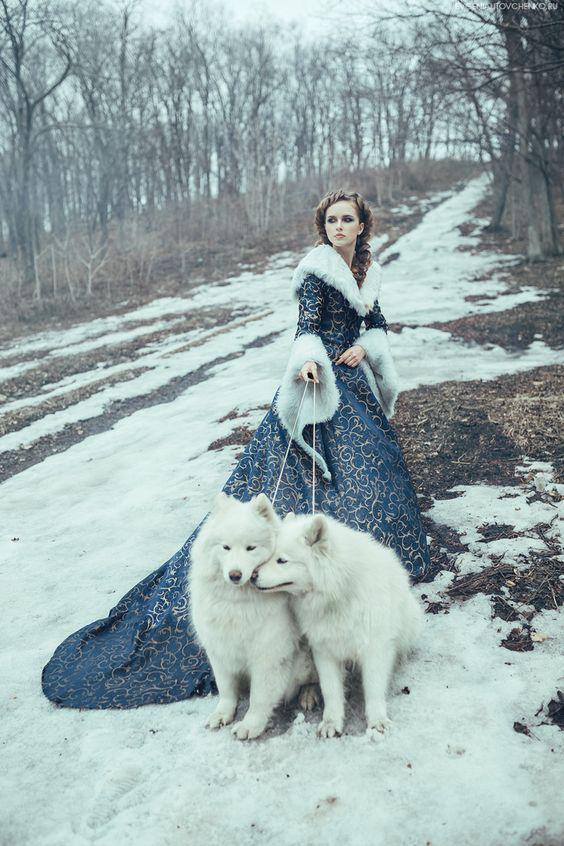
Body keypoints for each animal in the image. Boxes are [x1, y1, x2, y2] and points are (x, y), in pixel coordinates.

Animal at [188, 490, 312, 744]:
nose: (235, 575)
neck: (238, 603)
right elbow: (226, 689)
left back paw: (308, 695)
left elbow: (259, 696)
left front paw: (250, 725)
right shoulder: (220, 649)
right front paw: (222, 714)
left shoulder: (268, 655)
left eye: (251, 548)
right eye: (225, 547)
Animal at [251, 512, 424, 740]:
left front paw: (377, 721)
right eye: (268, 555)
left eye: (282, 560)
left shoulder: (374, 649)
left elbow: (374, 689)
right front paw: (331, 722)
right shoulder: (324, 650)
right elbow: (331, 690)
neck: (337, 595)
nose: (252, 576)